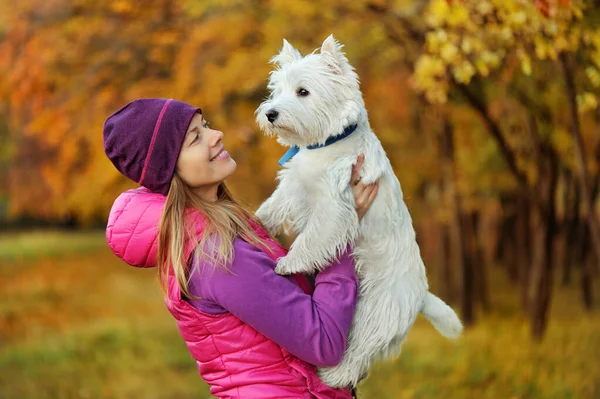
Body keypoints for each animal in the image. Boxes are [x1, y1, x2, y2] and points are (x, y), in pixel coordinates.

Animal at [255, 36, 462, 390]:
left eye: (303, 91)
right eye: (277, 90)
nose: (270, 113)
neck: (326, 145)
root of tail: (421, 295)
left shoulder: (334, 206)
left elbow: (313, 237)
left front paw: (290, 263)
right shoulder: (296, 185)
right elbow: (275, 204)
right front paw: (258, 220)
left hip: (374, 313)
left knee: (357, 353)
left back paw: (331, 375)